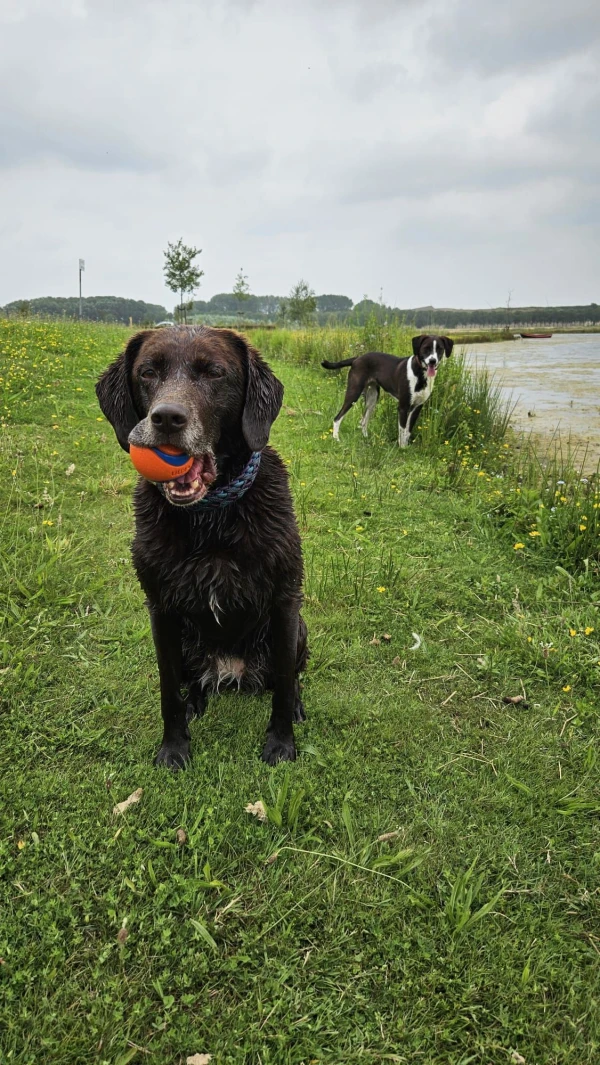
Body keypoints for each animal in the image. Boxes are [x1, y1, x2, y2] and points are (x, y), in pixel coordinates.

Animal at [97, 328, 309, 771]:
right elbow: (167, 692)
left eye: (214, 372)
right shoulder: (160, 609)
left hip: (300, 628)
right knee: (191, 681)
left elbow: (283, 687)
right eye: (148, 372)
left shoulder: (285, 601)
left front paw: (281, 744)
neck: (210, 517)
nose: (166, 419)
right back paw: (196, 700)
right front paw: (174, 748)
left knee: (289, 676)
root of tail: (232, 674)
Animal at [321, 334, 453, 447]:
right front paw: (402, 449)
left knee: (363, 421)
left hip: (372, 398)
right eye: (426, 348)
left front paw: (406, 448)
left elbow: (408, 431)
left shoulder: (417, 407)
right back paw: (336, 439)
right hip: (353, 393)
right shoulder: (403, 407)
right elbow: (402, 431)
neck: (420, 374)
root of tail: (357, 358)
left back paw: (366, 438)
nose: (432, 361)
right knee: (337, 418)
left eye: (440, 349)